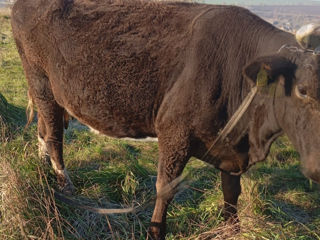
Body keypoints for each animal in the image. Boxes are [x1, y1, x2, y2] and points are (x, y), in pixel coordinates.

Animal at [10, 0, 320, 239]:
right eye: (302, 91)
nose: (317, 168)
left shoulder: (232, 146)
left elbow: (232, 193)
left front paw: (233, 230)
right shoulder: (174, 132)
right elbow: (166, 188)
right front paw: (155, 231)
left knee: (43, 131)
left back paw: (43, 170)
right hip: (41, 82)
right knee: (54, 138)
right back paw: (66, 186)